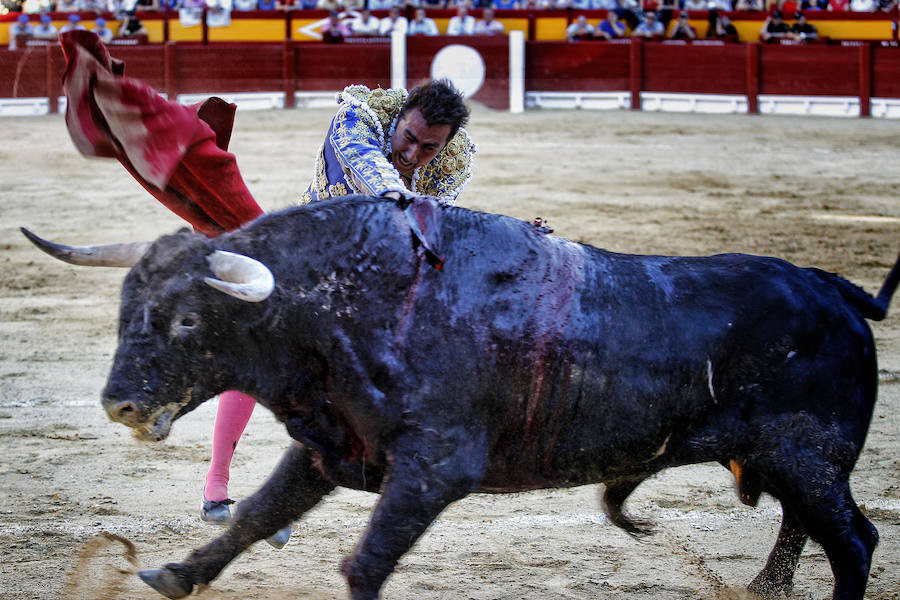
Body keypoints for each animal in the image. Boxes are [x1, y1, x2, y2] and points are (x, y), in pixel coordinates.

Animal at [21, 195, 900, 596]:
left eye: (188, 318)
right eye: (126, 307)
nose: (120, 405)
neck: (348, 304)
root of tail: (831, 288)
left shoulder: (435, 471)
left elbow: (364, 560)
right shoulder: (333, 448)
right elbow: (256, 516)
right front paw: (175, 573)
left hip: (811, 458)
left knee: (855, 539)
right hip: (786, 462)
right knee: (804, 525)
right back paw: (763, 587)